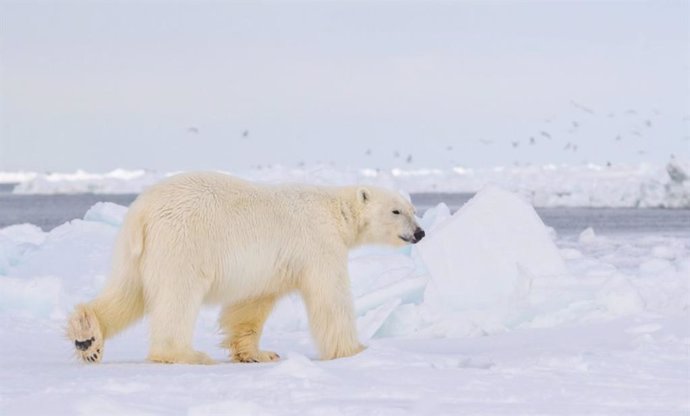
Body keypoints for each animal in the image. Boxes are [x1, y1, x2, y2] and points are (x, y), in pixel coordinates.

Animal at [66, 171, 420, 364]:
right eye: (396, 210)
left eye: (413, 208)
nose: (420, 233)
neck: (336, 211)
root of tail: (143, 209)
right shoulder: (318, 244)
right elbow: (330, 298)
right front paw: (355, 350)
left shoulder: (268, 265)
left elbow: (251, 304)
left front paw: (257, 353)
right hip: (183, 241)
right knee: (177, 297)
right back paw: (185, 354)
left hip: (136, 251)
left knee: (128, 292)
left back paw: (87, 337)